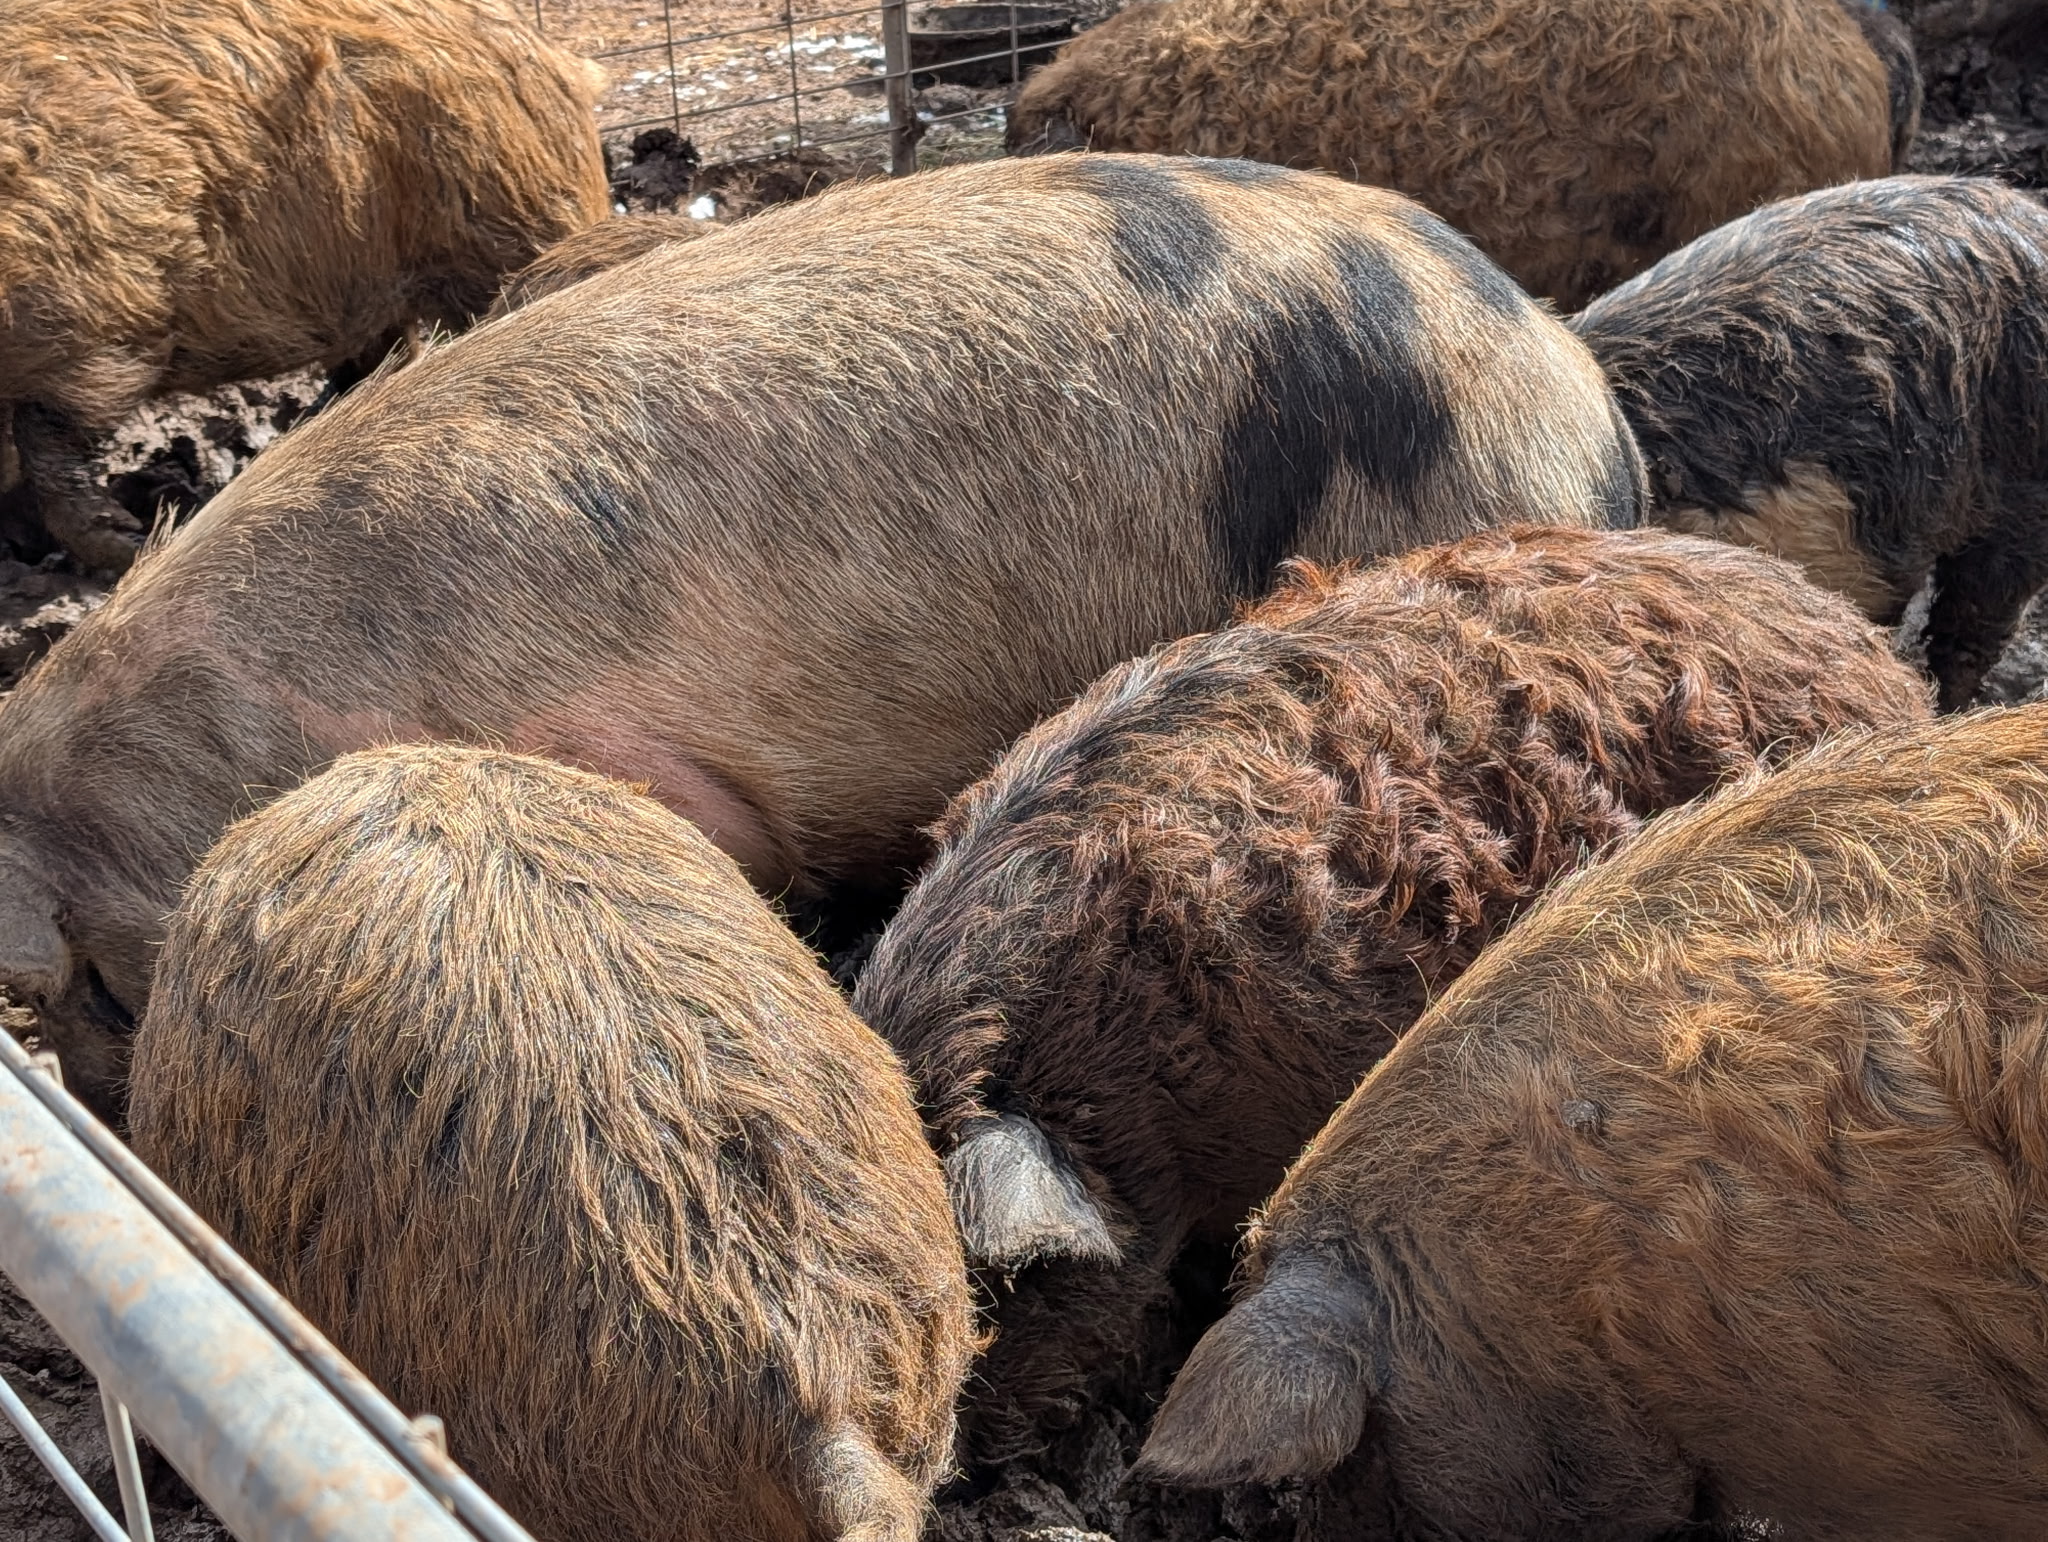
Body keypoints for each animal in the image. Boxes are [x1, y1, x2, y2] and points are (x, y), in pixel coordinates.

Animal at [0, 0, 611, 573]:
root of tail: (561, 63)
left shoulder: (99, 309)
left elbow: (52, 434)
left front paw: (132, 542)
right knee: (383, 355)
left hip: (513, 214)